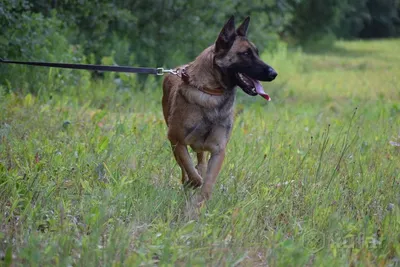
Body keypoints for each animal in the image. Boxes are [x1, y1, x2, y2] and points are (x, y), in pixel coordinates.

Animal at [161, 15, 276, 207]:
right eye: (245, 54)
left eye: (256, 53)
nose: (274, 73)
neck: (213, 93)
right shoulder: (177, 140)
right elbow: (190, 169)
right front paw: (193, 182)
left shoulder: (218, 151)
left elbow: (207, 184)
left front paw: (201, 205)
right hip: (174, 143)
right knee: (184, 166)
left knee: (200, 160)